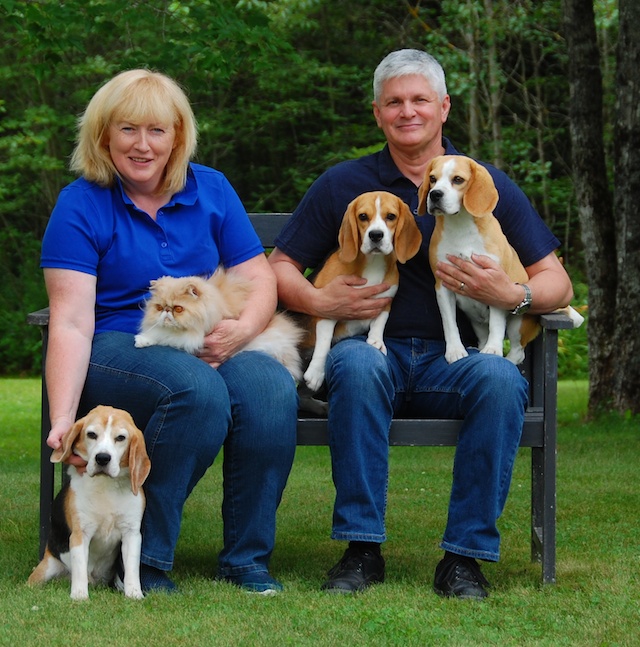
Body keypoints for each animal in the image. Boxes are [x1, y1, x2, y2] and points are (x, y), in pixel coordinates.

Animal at [27, 408, 151, 600]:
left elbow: (132, 568)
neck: (106, 485)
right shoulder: (81, 533)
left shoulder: (132, 533)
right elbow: (79, 567)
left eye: (121, 438)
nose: (102, 458)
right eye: (91, 434)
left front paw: (134, 594)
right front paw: (79, 596)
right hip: (46, 568)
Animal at [302, 187, 422, 390]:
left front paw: (376, 341)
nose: (376, 235)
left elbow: (380, 321)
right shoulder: (328, 308)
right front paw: (316, 372)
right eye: (363, 216)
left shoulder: (386, 301)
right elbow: (324, 342)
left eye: (391, 216)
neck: (373, 262)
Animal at [418, 153, 584, 364]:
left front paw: (493, 350)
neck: (460, 226)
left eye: (458, 179)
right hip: (476, 321)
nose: (435, 194)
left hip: (517, 323)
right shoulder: (442, 286)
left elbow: (496, 324)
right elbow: (449, 323)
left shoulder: (494, 286)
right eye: (432, 178)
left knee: (517, 352)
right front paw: (455, 350)